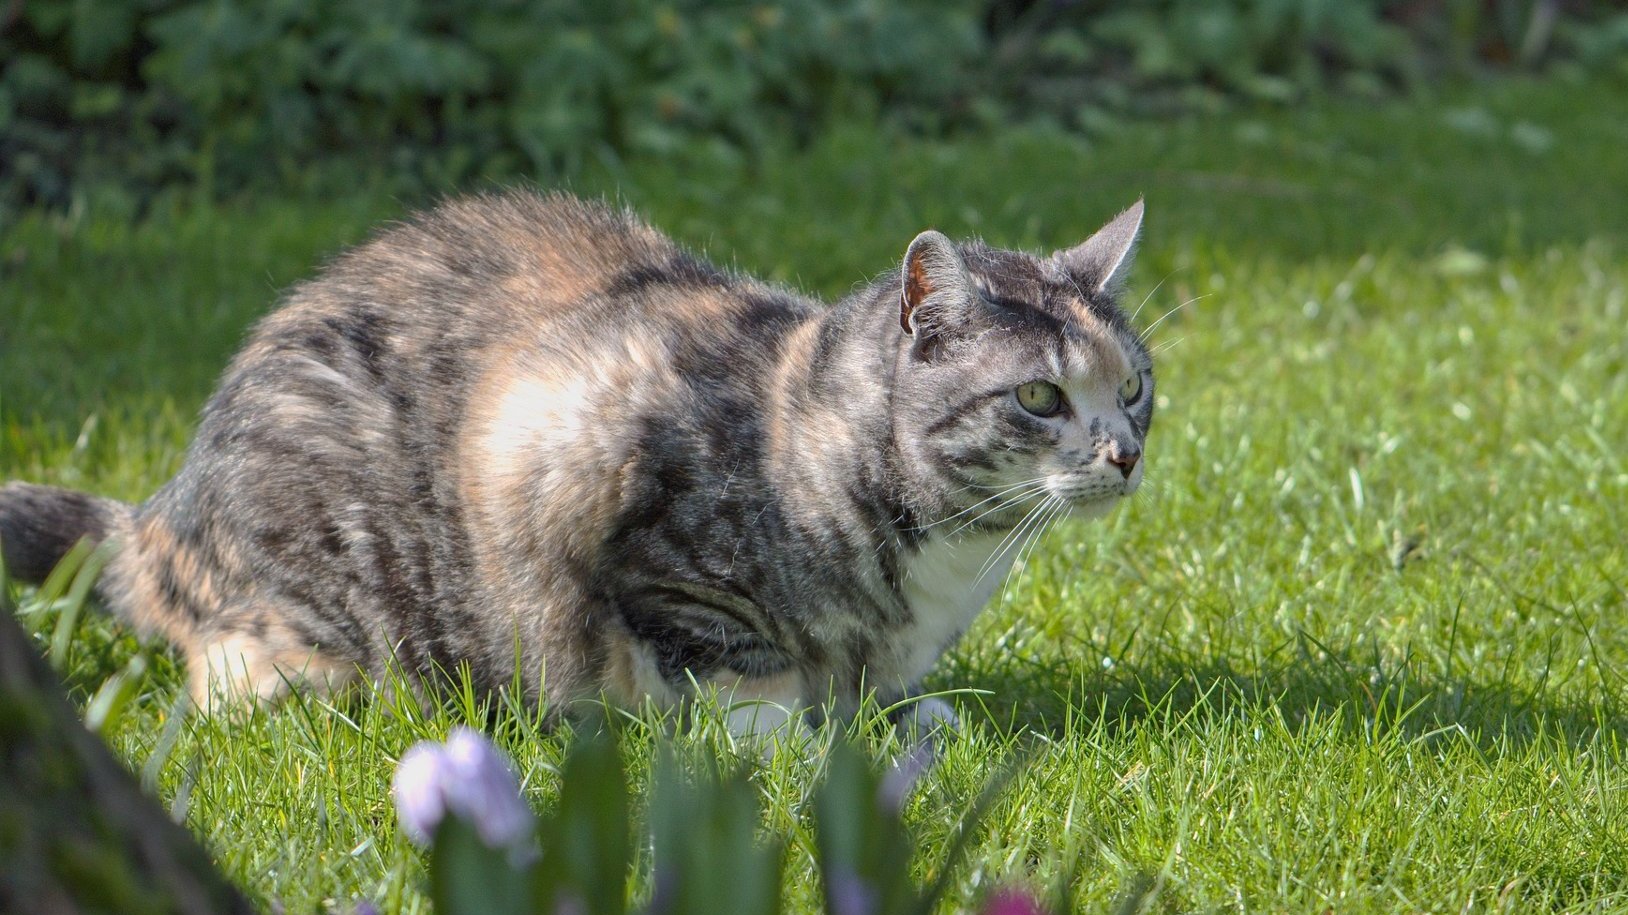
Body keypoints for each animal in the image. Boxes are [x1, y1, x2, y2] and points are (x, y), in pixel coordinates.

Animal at [0, 192, 1152, 732]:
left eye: (1135, 384)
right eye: (1040, 396)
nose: (1126, 452)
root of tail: (161, 520)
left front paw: (905, 715)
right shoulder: (603, 491)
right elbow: (735, 667)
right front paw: (788, 738)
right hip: (321, 623)